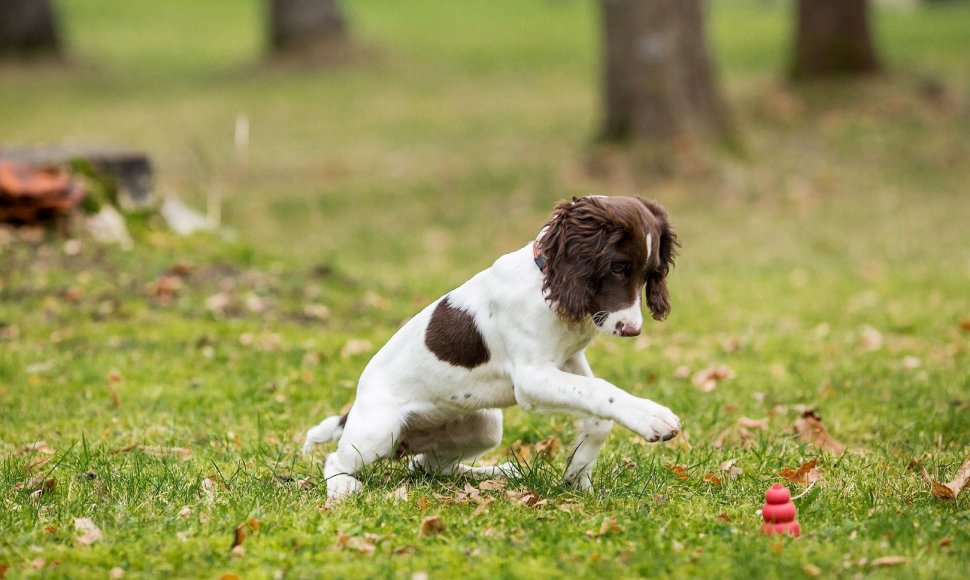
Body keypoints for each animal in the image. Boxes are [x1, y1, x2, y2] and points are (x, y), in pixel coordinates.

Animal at [304, 196, 680, 498]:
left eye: (650, 274)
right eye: (617, 267)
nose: (631, 329)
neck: (549, 284)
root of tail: (355, 407)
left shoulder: (568, 359)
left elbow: (597, 410)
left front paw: (577, 475)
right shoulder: (532, 378)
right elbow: (602, 390)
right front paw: (652, 417)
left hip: (484, 426)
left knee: (427, 466)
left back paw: (500, 472)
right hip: (377, 433)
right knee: (336, 459)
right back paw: (342, 487)